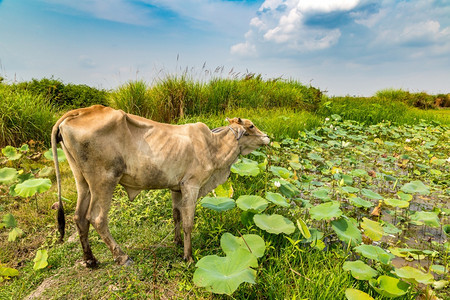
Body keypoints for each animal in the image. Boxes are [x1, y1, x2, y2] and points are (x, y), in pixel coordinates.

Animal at [51, 105, 270, 268]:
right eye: (251, 126)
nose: (268, 137)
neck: (213, 145)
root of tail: (78, 112)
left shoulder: (176, 188)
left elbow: (176, 215)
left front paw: (177, 242)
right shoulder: (191, 185)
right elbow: (188, 222)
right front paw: (188, 256)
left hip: (83, 181)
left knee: (79, 217)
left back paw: (90, 259)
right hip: (104, 181)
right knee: (97, 218)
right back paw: (122, 257)